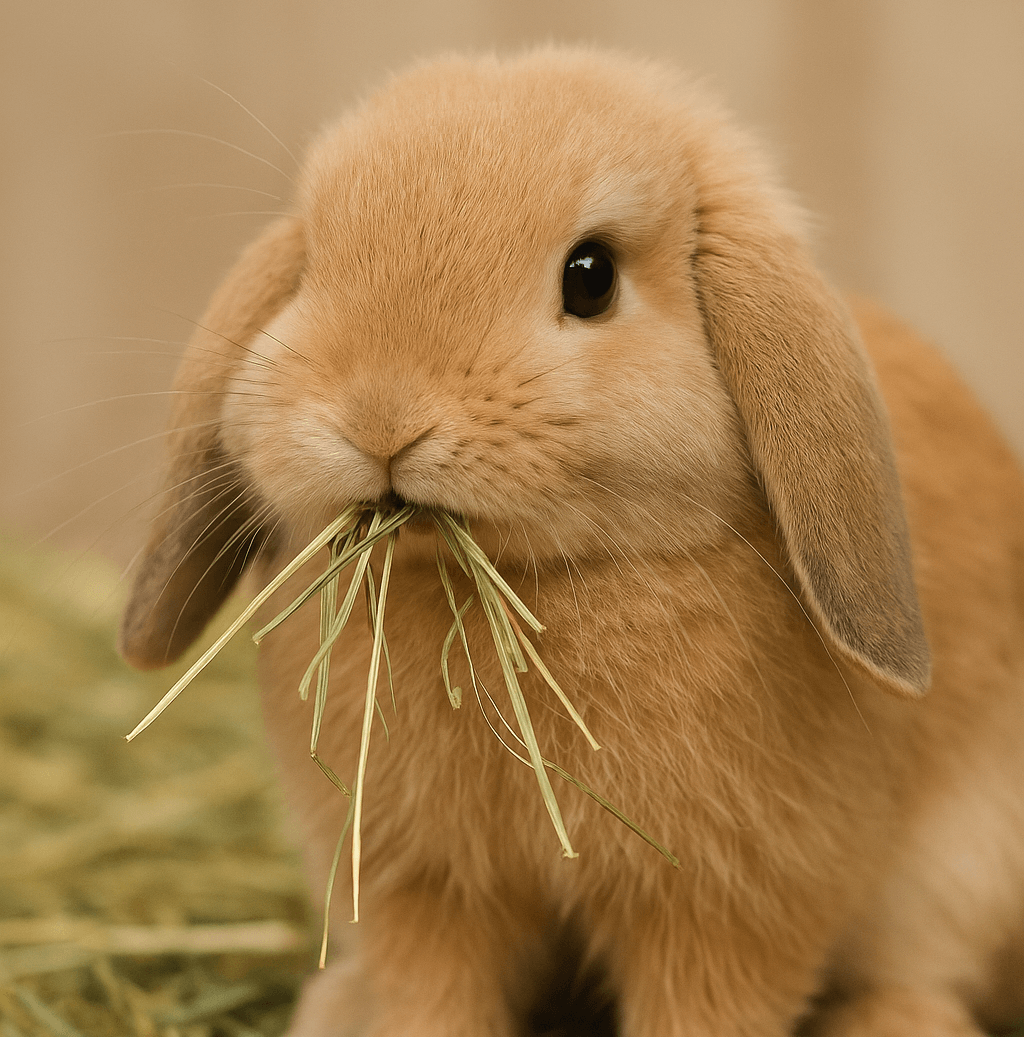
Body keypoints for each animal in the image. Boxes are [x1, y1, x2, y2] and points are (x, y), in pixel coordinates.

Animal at [118, 47, 1024, 1037]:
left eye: (591, 276)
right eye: (312, 266)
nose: (381, 416)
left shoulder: (725, 907)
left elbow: (702, 1009)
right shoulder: (426, 890)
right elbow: (433, 999)